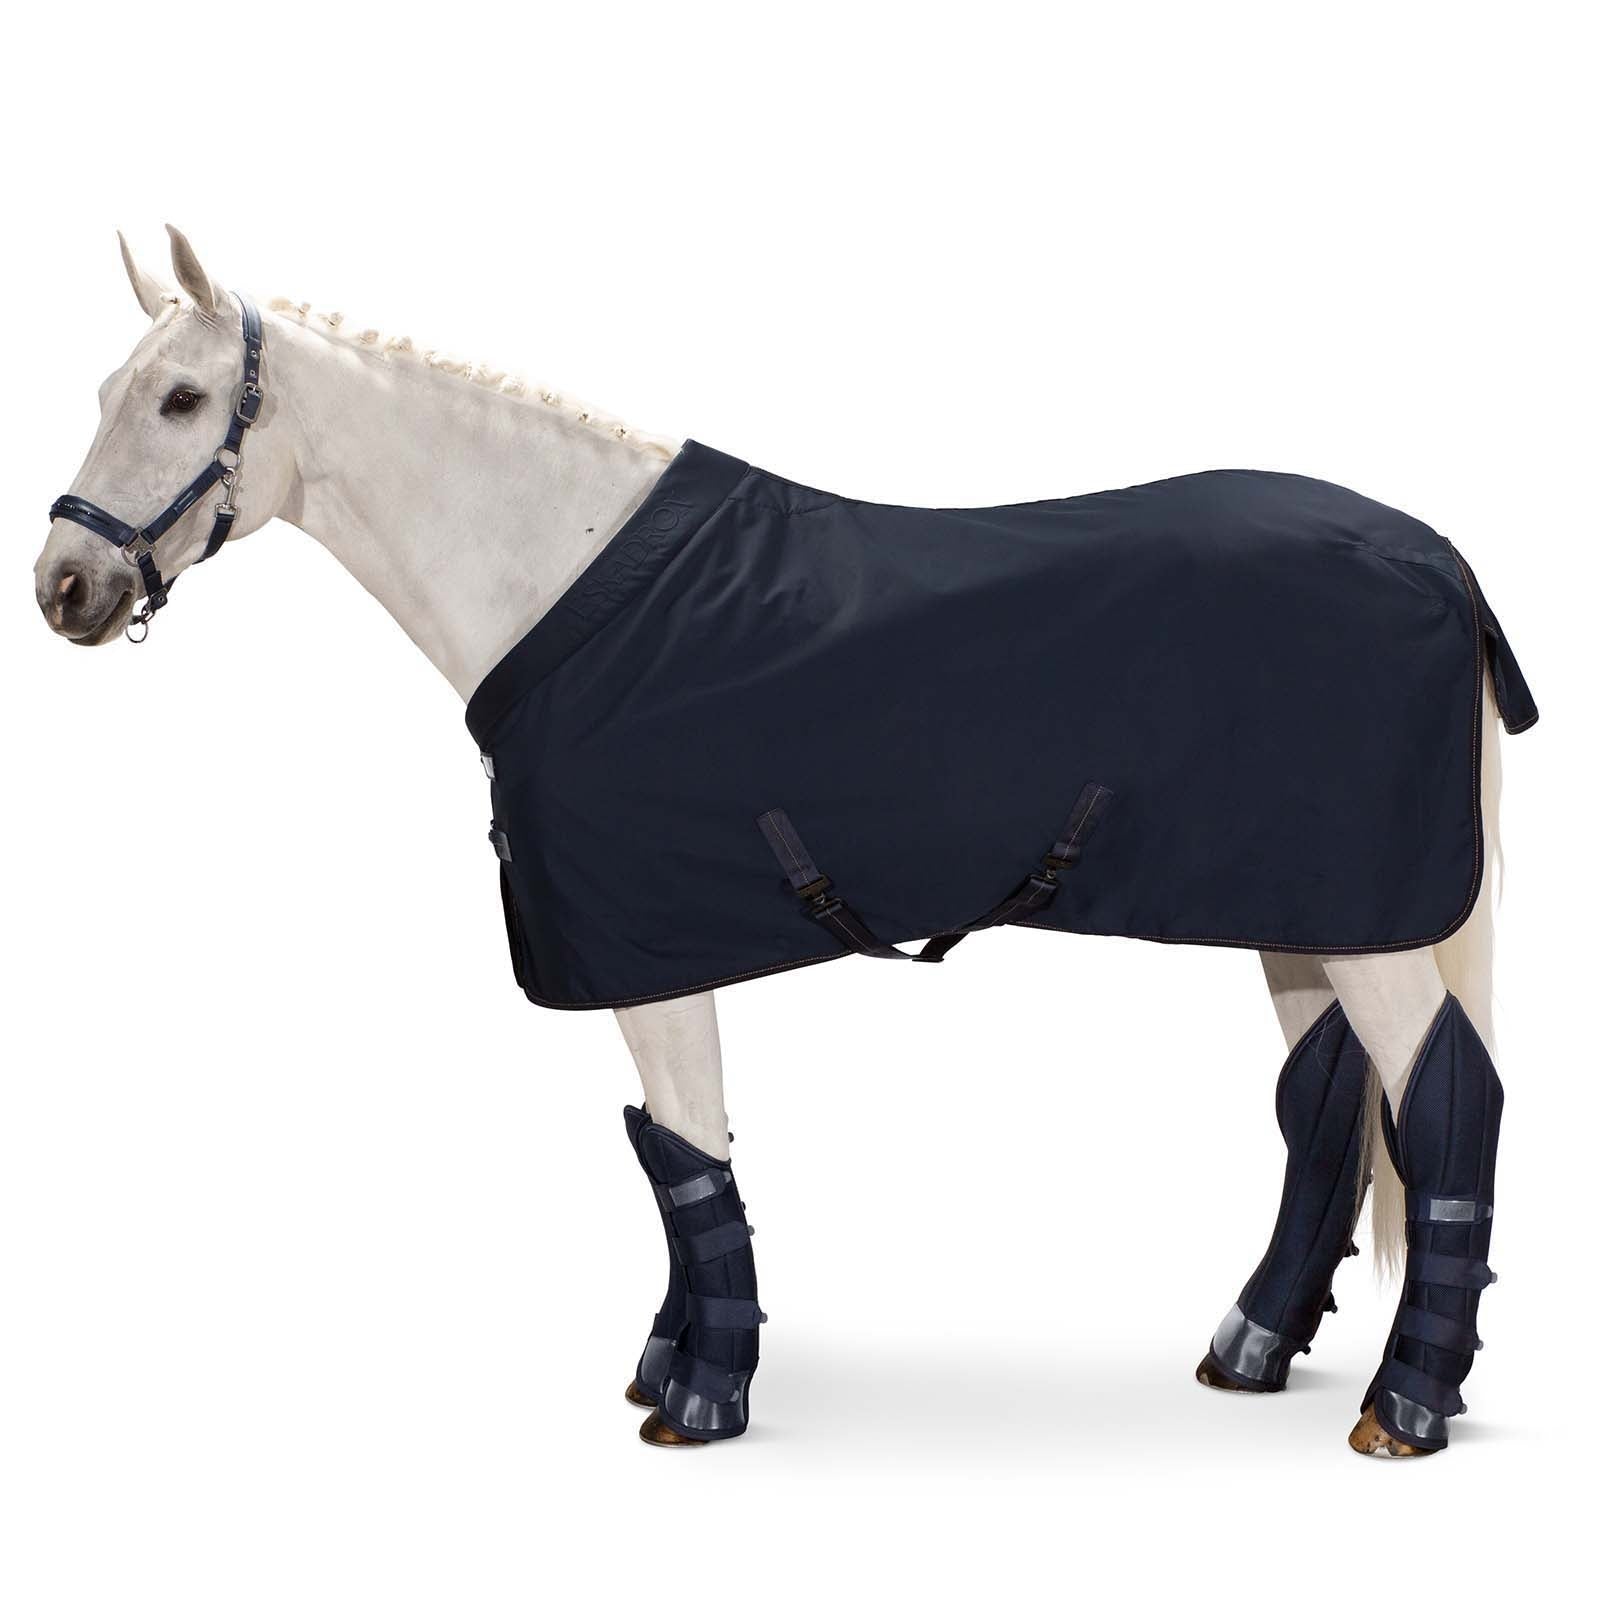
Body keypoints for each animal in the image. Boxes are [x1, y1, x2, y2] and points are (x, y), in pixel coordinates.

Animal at [35, 227, 1530, 1454]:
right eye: (108, 392)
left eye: (179, 401)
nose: (65, 586)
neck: (564, 586)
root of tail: (1435, 558)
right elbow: (676, 1155)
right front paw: (671, 1361)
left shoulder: (646, 951)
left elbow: (691, 1152)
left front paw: (703, 1395)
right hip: (1304, 911)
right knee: (1328, 1102)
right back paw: (1255, 1344)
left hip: (1362, 923)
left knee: (1446, 1097)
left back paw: (1407, 1404)